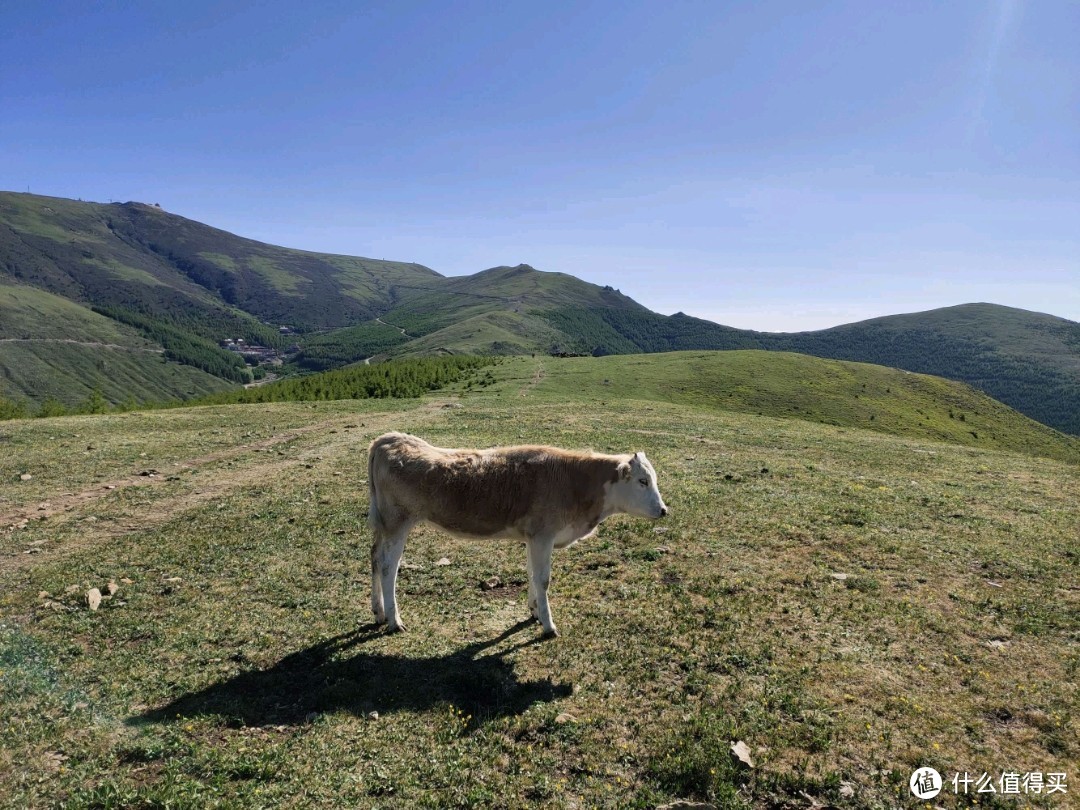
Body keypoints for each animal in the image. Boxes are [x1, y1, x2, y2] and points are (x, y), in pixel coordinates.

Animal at [365, 434, 665, 639]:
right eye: (643, 481)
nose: (664, 510)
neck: (573, 481)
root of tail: (388, 439)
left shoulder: (533, 538)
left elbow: (532, 573)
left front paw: (534, 612)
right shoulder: (543, 536)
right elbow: (543, 579)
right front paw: (548, 626)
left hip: (384, 526)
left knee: (375, 558)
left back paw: (378, 612)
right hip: (398, 523)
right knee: (389, 567)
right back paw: (394, 620)